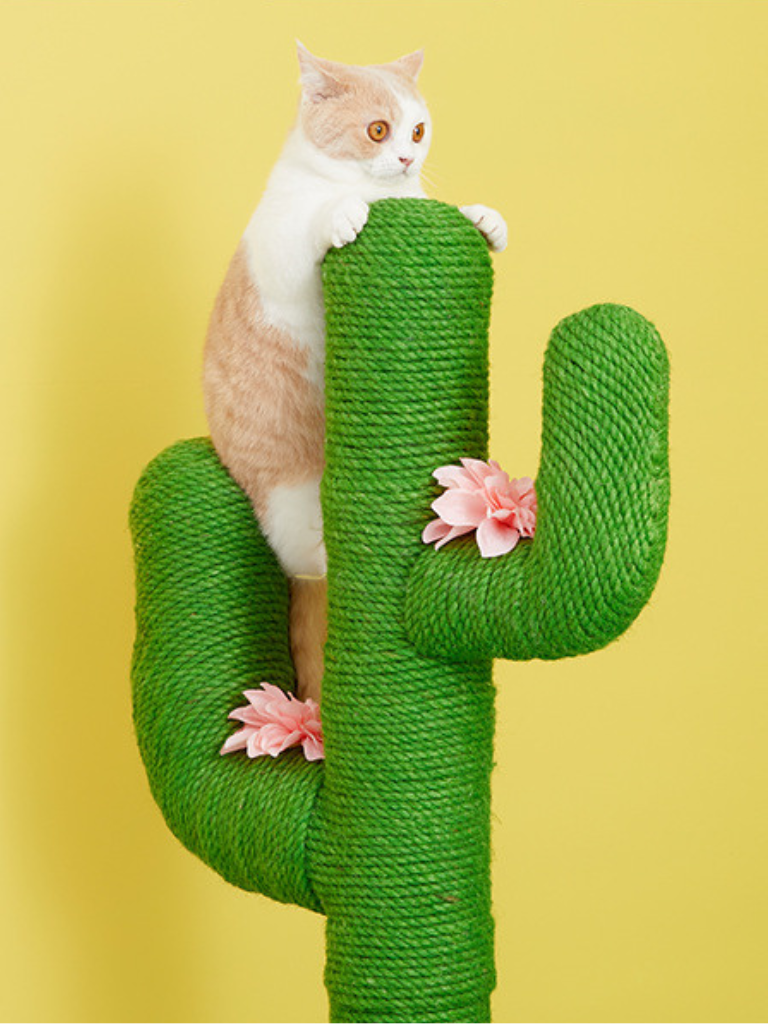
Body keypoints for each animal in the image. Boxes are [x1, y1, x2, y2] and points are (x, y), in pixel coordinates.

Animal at [202, 41, 512, 704]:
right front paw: (340, 215)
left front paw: (484, 218)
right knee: (307, 560)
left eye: (417, 130)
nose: (406, 157)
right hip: (288, 498)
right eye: (377, 130)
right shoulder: (279, 249)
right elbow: (315, 224)